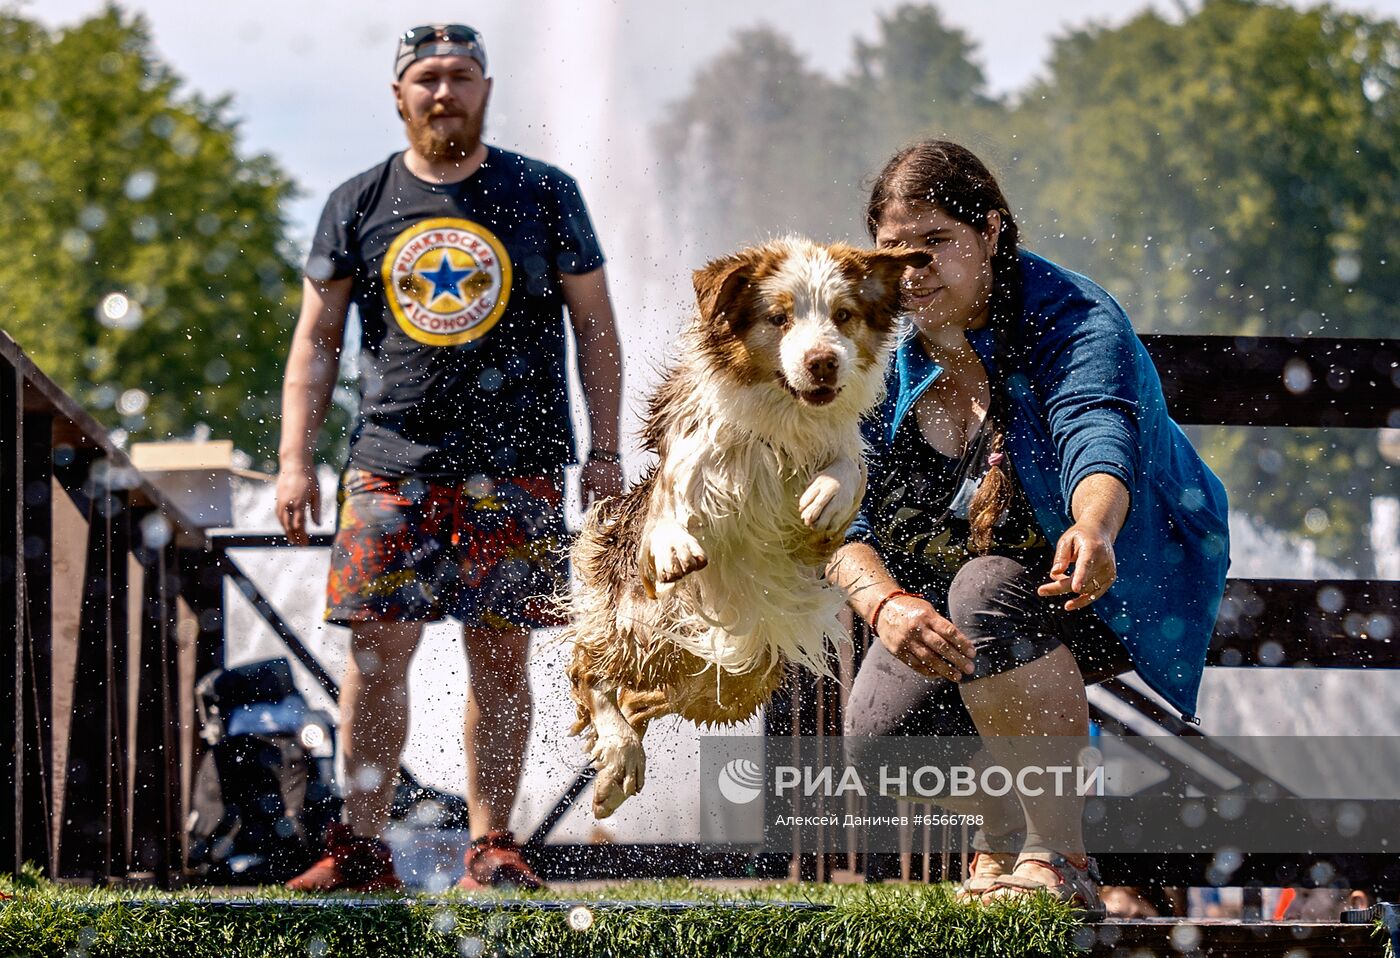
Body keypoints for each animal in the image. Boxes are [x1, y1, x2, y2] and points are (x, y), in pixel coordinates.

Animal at [557, 238, 929, 817]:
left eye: (843, 315)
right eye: (778, 318)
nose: (823, 362)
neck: (781, 419)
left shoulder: (823, 518)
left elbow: (850, 469)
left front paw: (826, 493)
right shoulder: (687, 458)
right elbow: (671, 503)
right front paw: (675, 544)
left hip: (738, 677)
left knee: (644, 698)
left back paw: (619, 768)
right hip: (637, 623)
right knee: (589, 670)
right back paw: (618, 753)